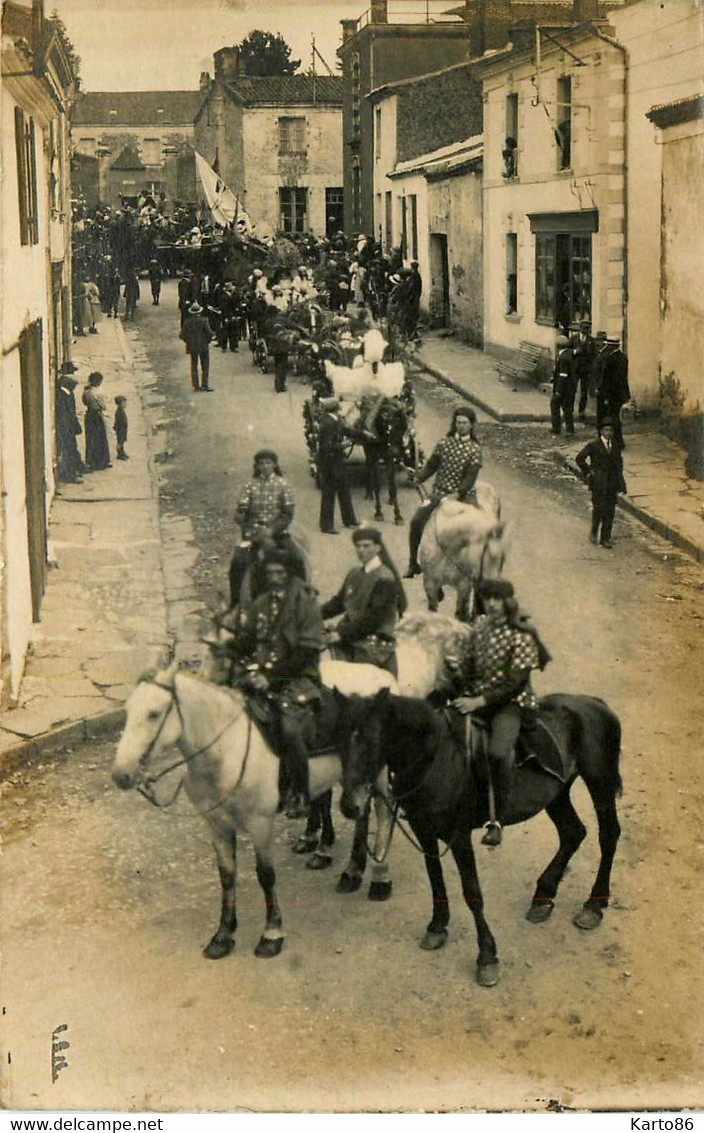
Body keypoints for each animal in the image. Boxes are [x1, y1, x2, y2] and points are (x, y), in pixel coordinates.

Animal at [112, 666, 392, 960]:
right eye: (128, 711)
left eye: (154, 713)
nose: (121, 774)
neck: (227, 751)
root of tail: (382, 675)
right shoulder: (217, 825)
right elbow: (226, 876)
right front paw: (223, 935)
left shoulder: (260, 824)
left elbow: (266, 876)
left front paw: (272, 934)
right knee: (361, 814)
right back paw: (351, 872)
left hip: (379, 773)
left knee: (383, 814)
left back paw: (380, 879)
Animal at [340, 684, 621, 987]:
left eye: (370, 740)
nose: (349, 806)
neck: (435, 758)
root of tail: (595, 703)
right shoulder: (424, 830)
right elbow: (435, 880)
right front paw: (437, 927)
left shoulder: (459, 836)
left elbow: (472, 892)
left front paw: (487, 957)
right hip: (556, 794)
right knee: (573, 832)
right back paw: (543, 897)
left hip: (600, 782)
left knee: (608, 836)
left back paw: (593, 906)